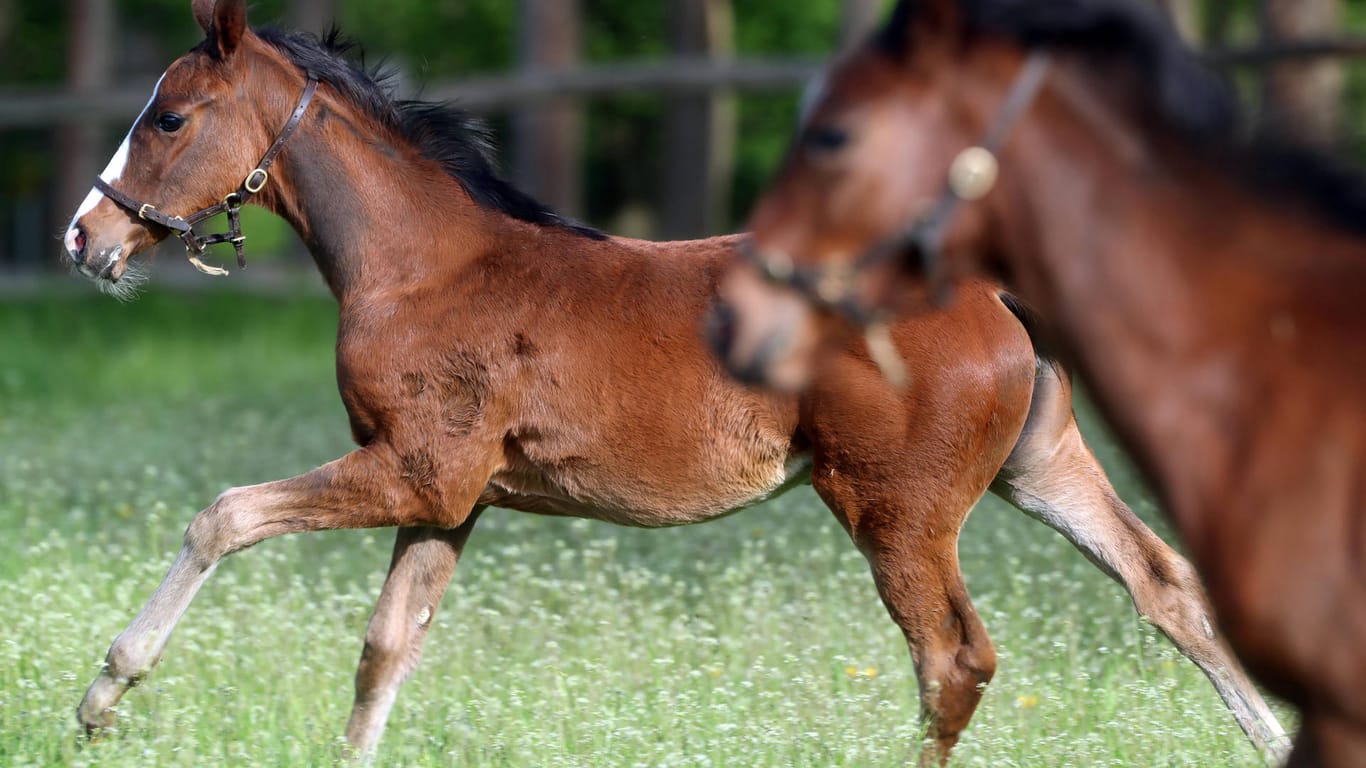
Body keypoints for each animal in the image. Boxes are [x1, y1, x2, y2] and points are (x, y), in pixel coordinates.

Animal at [64, 0, 1278, 759]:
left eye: (169, 117)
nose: (86, 238)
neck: (424, 266)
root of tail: (990, 287)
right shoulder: (452, 501)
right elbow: (384, 651)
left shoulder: (412, 470)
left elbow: (225, 516)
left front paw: (103, 694)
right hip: (1040, 466)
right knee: (1167, 587)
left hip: (897, 509)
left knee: (954, 660)